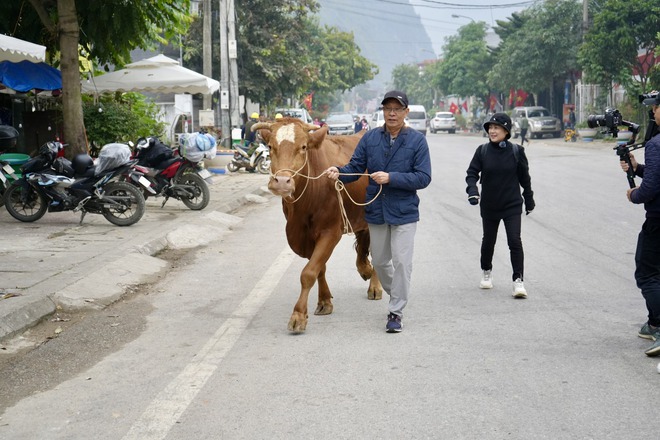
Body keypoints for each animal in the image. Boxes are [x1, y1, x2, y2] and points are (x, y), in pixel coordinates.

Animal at [255, 117, 384, 330]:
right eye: (270, 146)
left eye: (303, 147)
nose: (281, 181)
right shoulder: (304, 236)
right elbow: (319, 268)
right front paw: (324, 301)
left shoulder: (330, 232)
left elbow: (308, 273)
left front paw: (298, 315)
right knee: (363, 246)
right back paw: (365, 269)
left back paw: (375, 286)